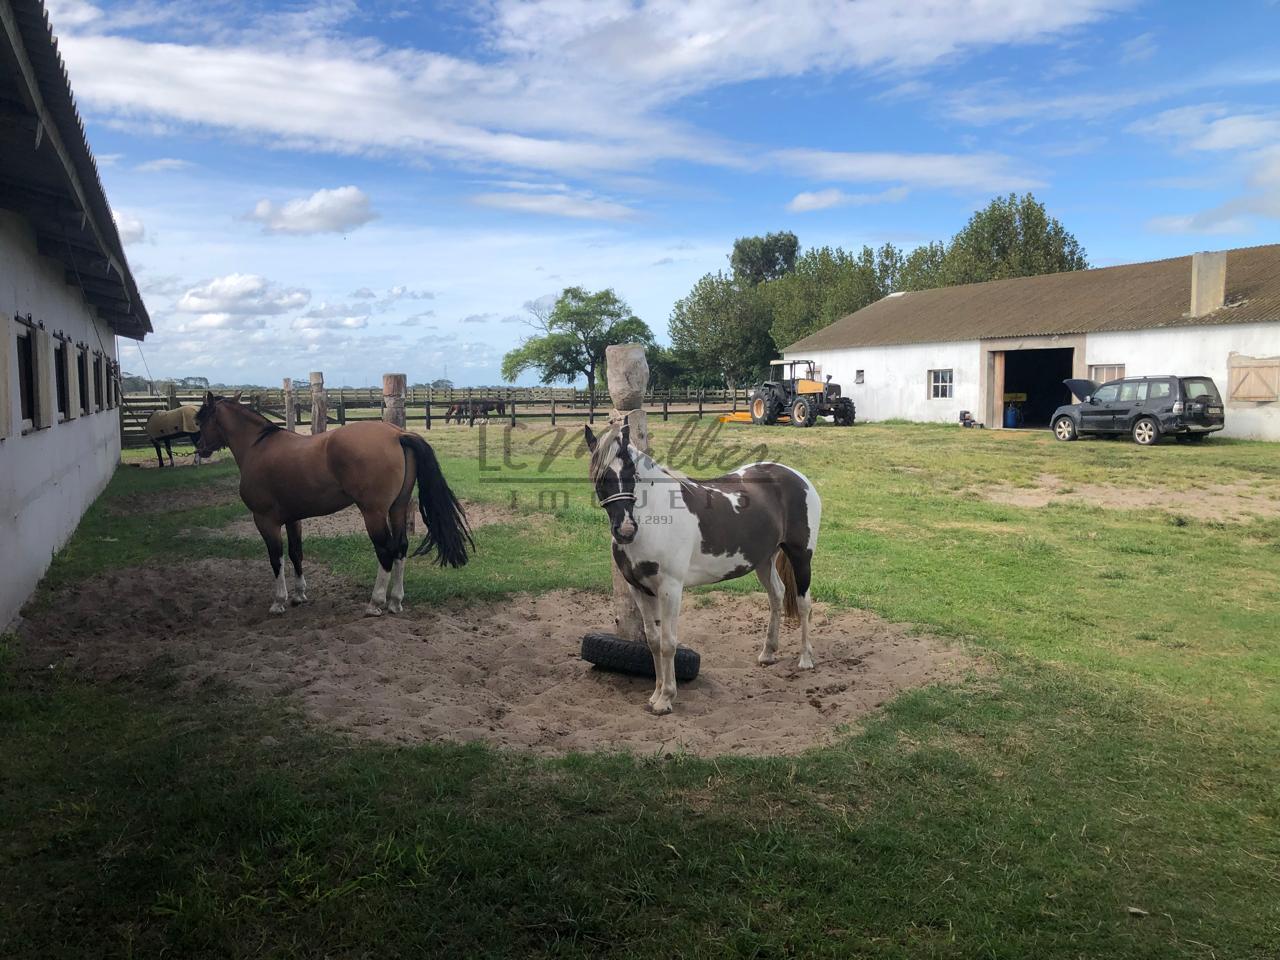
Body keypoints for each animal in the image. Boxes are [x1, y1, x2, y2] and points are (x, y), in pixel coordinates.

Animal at [189, 394, 471, 619]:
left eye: (200, 420)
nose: (199, 448)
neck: (257, 446)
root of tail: (397, 434)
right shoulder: (293, 518)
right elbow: (296, 553)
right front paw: (299, 595)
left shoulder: (265, 520)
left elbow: (275, 558)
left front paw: (279, 601)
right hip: (397, 508)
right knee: (400, 548)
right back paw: (395, 601)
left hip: (373, 513)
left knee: (385, 551)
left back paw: (375, 602)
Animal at [586, 422, 824, 716]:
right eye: (600, 475)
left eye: (631, 472)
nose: (626, 530)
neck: (656, 516)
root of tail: (797, 477)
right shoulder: (639, 589)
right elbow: (653, 642)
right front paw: (654, 695)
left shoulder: (670, 589)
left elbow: (668, 643)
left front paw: (666, 699)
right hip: (763, 560)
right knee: (777, 595)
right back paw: (768, 653)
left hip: (801, 557)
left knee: (804, 604)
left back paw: (805, 659)